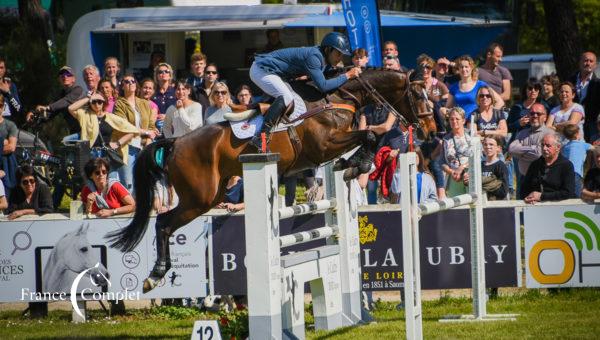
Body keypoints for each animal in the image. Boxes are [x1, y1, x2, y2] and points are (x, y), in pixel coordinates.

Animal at [106, 69, 436, 292]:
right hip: (199, 198)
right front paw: (356, 164)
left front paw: (353, 164)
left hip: (210, 196)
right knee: (163, 223)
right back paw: (154, 276)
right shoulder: (324, 145)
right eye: (417, 96)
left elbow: (369, 137)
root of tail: (175, 142)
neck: (338, 98)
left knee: (165, 222)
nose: (429, 130)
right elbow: (369, 135)